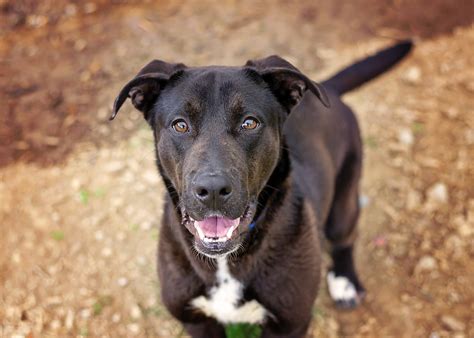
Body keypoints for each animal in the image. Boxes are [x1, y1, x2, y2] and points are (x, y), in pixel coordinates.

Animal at [110, 41, 412, 336]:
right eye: (180, 125)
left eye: (249, 122)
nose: (213, 189)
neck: (226, 263)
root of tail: (330, 87)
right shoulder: (195, 321)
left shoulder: (290, 324)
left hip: (344, 199)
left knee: (344, 239)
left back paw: (345, 281)